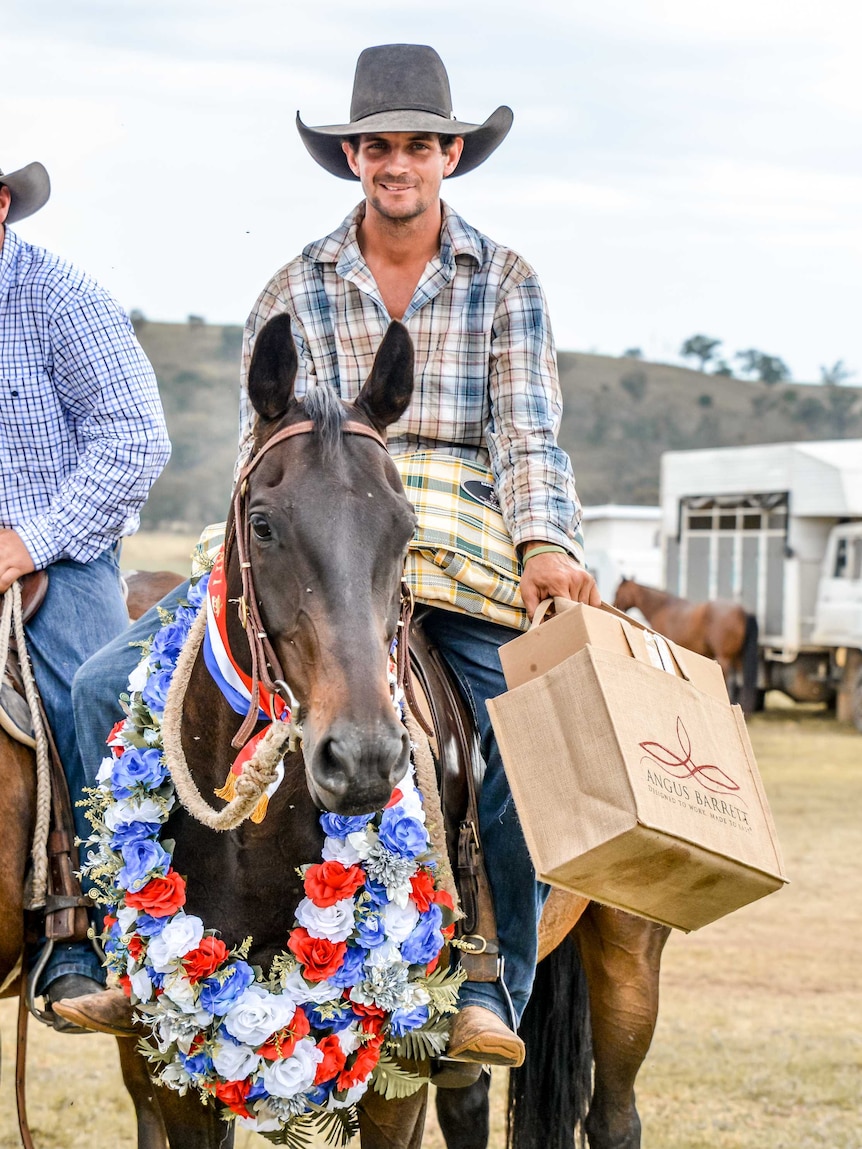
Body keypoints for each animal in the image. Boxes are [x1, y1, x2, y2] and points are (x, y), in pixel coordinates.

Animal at [616, 579, 753, 712]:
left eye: (618, 592)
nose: (615, 604)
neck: (661, 608)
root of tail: (741, 610)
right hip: (737, 657)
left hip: (724, 656)